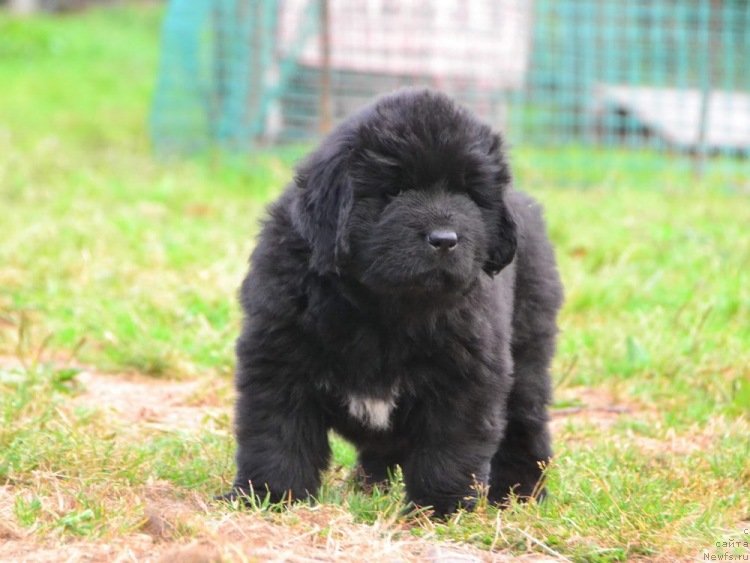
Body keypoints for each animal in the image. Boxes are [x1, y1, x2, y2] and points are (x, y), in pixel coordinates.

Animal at [229, 88, 564, 516]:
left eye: (467, 194)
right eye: (396, 190)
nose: (444, 239)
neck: (383, 309)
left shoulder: (466, 374)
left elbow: (449, 450)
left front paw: (441, 509)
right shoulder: (279, 358)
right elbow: (277, 436)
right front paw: (269, 497)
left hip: (528, 351)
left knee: (526, 422)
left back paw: (520, 493)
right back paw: (368, 486)